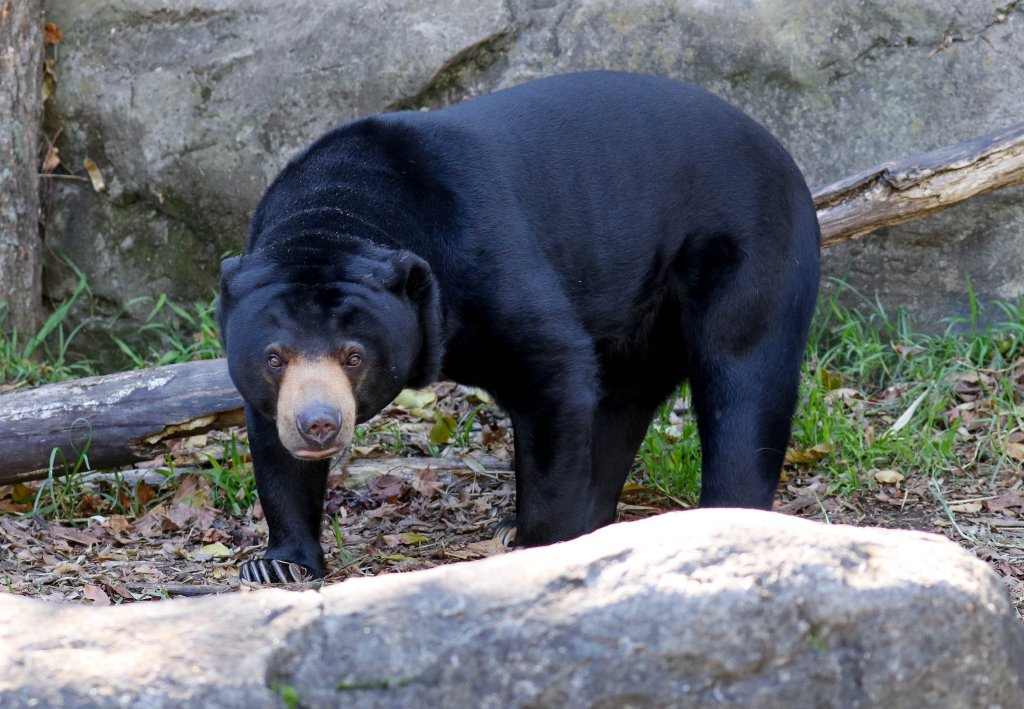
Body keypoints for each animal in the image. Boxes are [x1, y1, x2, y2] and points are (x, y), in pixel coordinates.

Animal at [218, 71, 820, 583]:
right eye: (275, 358)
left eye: (354, 355)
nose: (318, 425)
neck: (342, 208)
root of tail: (781, 152)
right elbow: (272, 445)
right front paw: (277, 564)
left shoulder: (484, 255)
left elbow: (551, 369)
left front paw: (540, 543)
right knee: (622, 400)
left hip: (748, 249)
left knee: (742, 377)